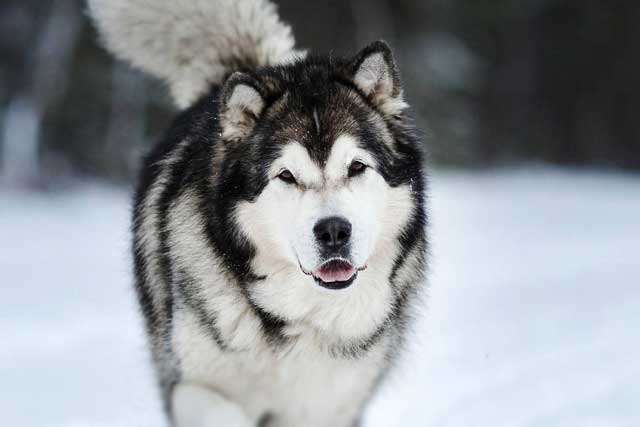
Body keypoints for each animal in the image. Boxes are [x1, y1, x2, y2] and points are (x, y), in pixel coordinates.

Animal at [87, 1, 428, 426]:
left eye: (356, 167)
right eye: (286, 175)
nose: (334, 232)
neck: (294, 318)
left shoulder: (325, 407)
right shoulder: (190, 386)